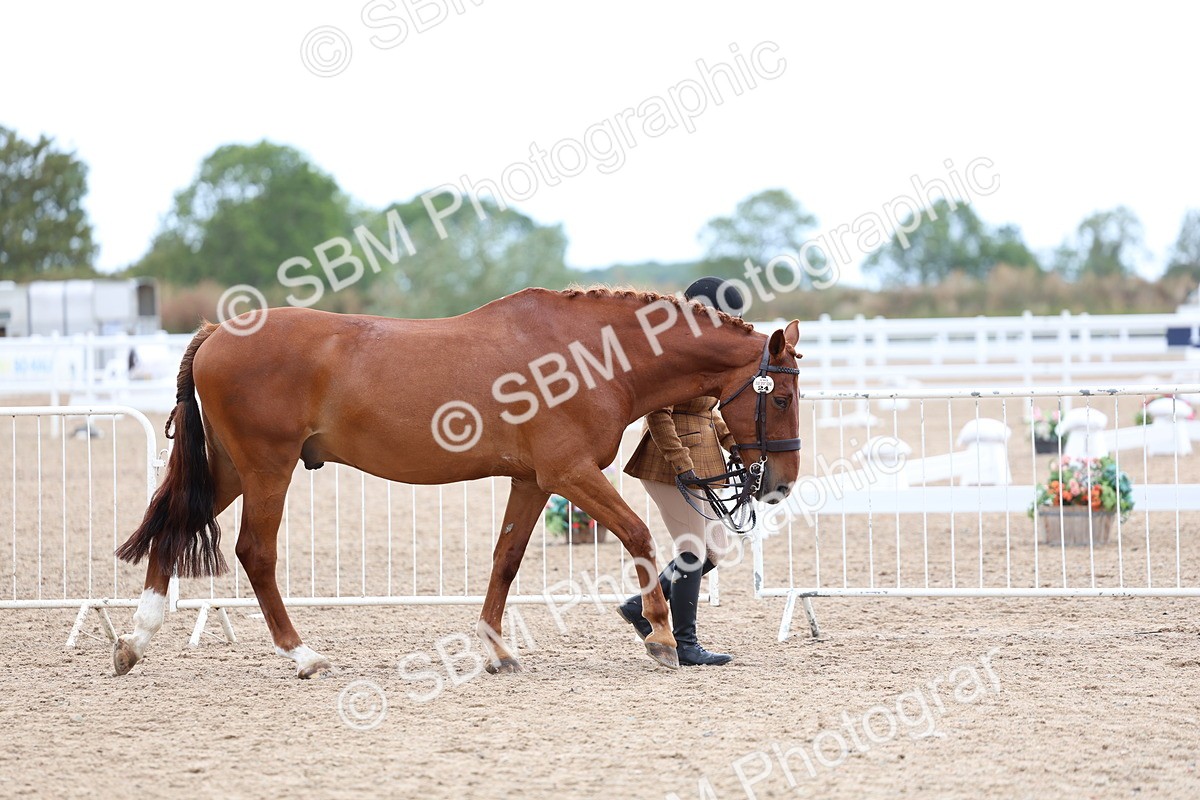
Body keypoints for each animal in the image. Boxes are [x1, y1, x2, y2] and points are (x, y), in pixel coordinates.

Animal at [112, 286, 802, 678]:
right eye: (782, 395)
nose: (780, 484)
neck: (587, 355)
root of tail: (216, 333)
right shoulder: (572, 474)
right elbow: (636, 534)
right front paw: (658, 635)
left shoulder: (533, 480)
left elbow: (506, 558)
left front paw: (497, 651)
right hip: (265, 469)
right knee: (254, 552)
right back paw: (301, 655)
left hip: (231, 469)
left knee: (172, 525)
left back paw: (134, 642)